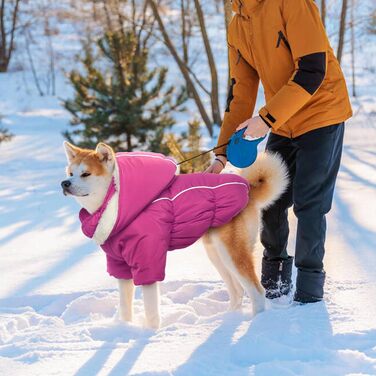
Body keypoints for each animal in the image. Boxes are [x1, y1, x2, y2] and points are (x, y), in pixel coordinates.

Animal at [61, 142, 288, 328]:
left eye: (85, 174)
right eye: (71, 172)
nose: (65, 183)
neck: (118, 204)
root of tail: (248, 188)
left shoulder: (148, 262)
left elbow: (151, 310)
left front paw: (150, 335)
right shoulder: (120, 265)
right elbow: (125, 307)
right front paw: (124, 329)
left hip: (232, 253)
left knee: (257, 291)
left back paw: (256, 323)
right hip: (216, 254)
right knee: (238, 291)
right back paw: (225, 320)